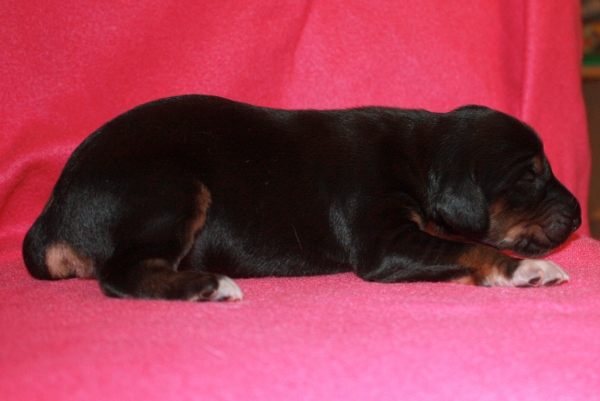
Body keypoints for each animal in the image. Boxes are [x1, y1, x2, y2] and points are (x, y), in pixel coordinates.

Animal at [22, 95, 582, 301]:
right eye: (531, 176)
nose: (579, 216)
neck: (420, 156)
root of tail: (52, 213)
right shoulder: (383, 241)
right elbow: (472, 247)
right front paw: (525, 270)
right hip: (170, 186)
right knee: (122, 275)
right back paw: (209, 285)